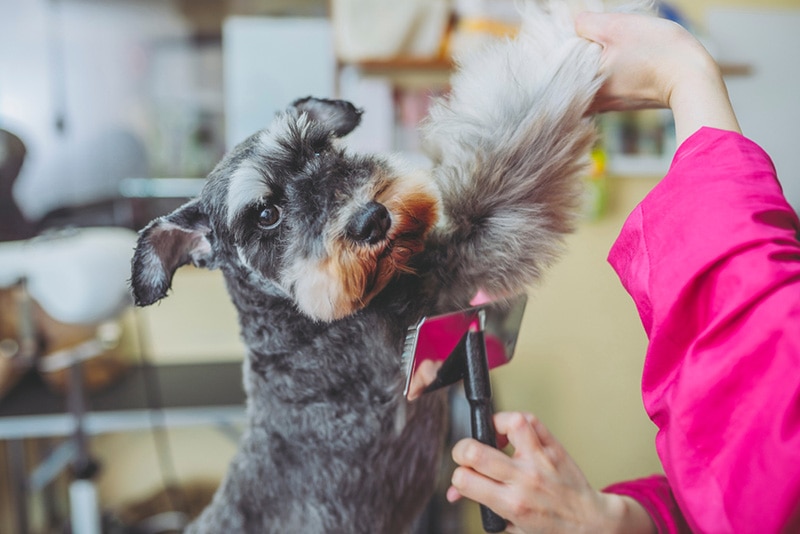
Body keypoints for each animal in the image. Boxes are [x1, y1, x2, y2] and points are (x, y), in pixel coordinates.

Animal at [131, 3, 604, 532]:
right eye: (265, 214)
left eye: (319, 147)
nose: (372, 219)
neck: (297, 323)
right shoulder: (448, 272)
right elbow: (507, 157)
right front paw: (561, 47)